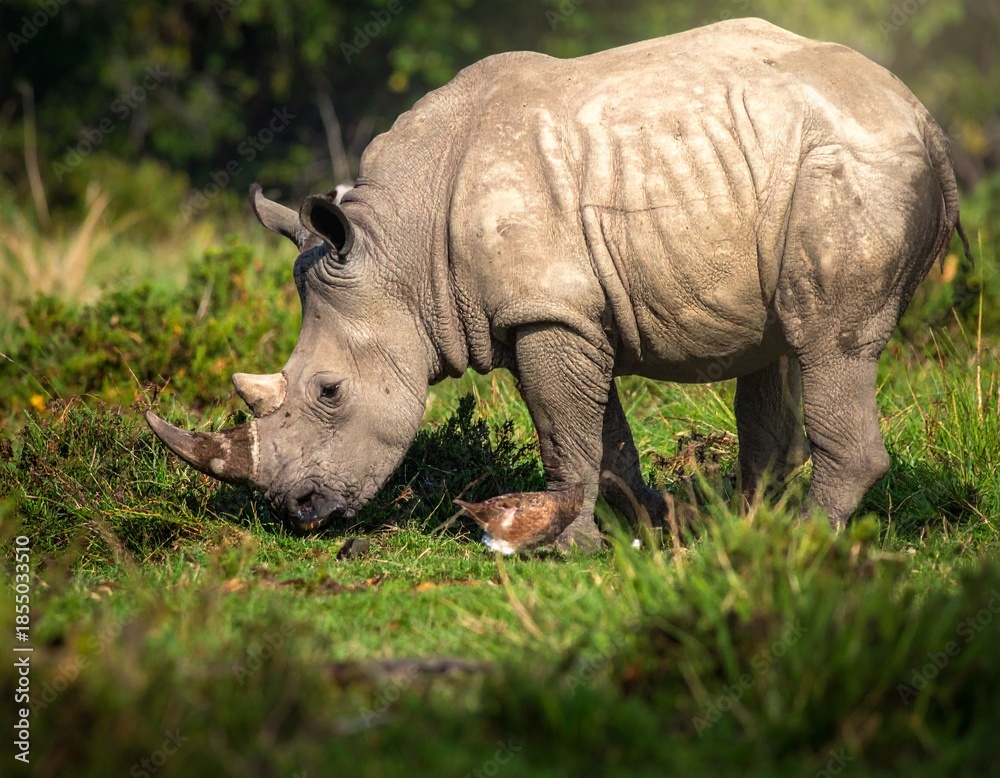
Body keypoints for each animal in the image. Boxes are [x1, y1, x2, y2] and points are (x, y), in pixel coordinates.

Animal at [146, 18, 969, 550]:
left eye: (328, 392)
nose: (297, 511)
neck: (399, 253)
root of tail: (923, 117)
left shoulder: (547, 312)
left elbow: (563, 433)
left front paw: (574, 551)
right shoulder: (553, 312)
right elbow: (603, 434)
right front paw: (648, 528)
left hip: (854, 167)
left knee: (830, 343)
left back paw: (797, 547)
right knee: (776, 355)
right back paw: (746, 532)